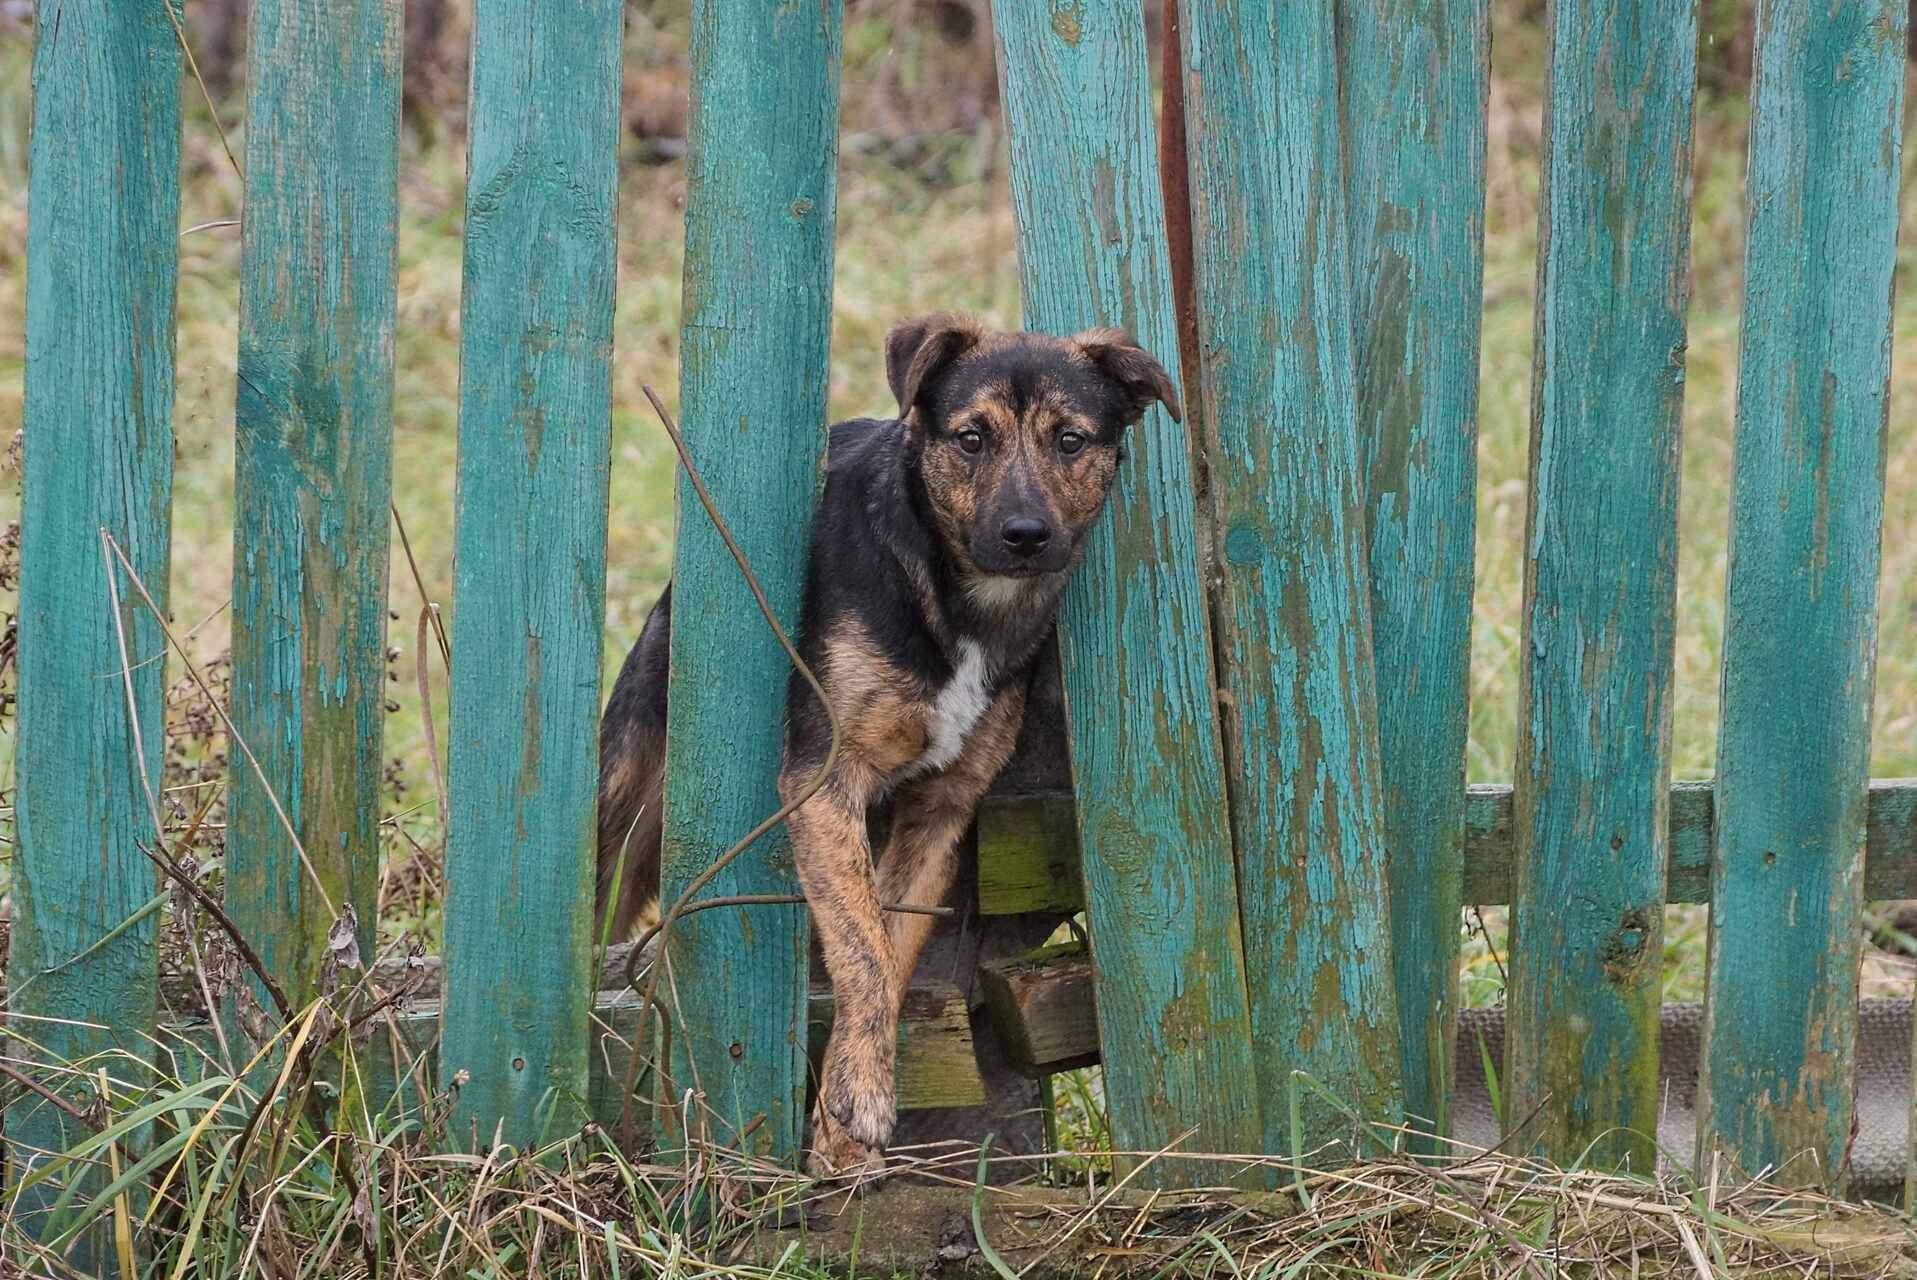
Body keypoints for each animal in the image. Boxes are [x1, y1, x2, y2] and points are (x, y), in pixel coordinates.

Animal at [594, 314, 1180, 1172]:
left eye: (1070, 440)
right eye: (970, 438)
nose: (1025, 535)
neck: (960, 599)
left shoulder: (941, 810)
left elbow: (892, 951)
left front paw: (841, 1128)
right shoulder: (823, 783)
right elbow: (862, 949)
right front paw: (862, 1105)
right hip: (627, 805)